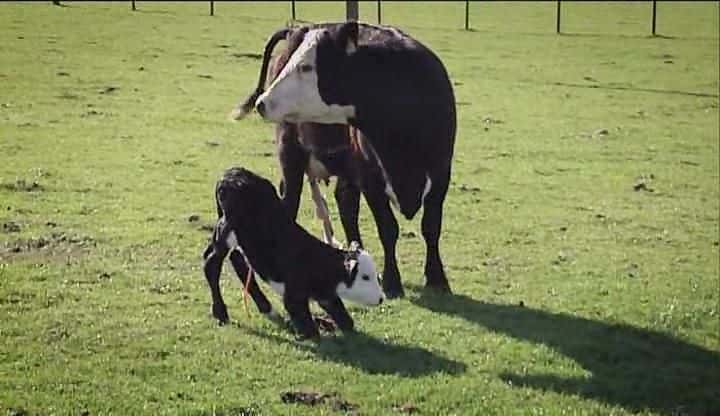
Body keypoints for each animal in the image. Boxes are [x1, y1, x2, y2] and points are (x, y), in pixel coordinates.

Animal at [200, 167, 386, 340]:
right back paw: (221, 312)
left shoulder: (326, 295)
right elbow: (309, 327)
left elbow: (345, 319)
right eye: (365, 277)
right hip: (228, 228)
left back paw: (267, 309)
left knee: (236, 259)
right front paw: (309, 331)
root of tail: (230, 174)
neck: (318, 263)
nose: (381, 299)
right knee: (212, 263)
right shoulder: (293, 295)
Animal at [231, 21, 456, 298]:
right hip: (290, 151)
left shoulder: (441, 173)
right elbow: (388, 229)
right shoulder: (371, 178)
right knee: (291, 201)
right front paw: (393, 282)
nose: (262, 102)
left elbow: (431, 227)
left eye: (306, 66)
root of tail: (297, 27)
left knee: (345, 205)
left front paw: (437, 278)